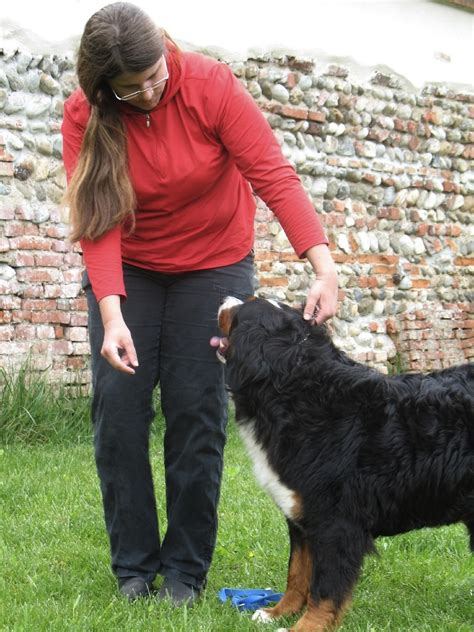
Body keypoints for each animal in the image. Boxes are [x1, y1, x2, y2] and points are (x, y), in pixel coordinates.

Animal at [217, 296, 472, 632]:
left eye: (242, 308)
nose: (225, 299)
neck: (294, 389)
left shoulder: (335, 523)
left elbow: (324, 589)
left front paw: (306, 626)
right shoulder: (302, 517)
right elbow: (297, 574)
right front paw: (277, 613)